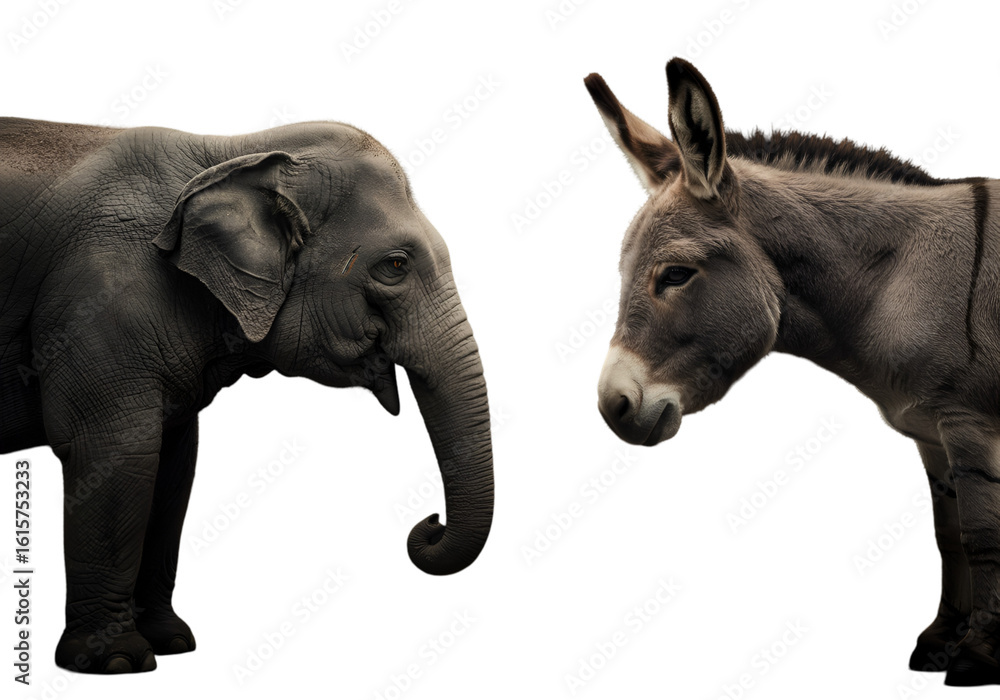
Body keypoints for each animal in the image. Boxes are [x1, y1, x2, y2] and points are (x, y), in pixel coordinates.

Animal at [0, 117, 494, 674]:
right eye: (394, 266)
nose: (430, 523)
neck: (233, 151)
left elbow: (173, 465)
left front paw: (173, 643)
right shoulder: (98, 302)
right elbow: (117, 453)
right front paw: (116, 662)